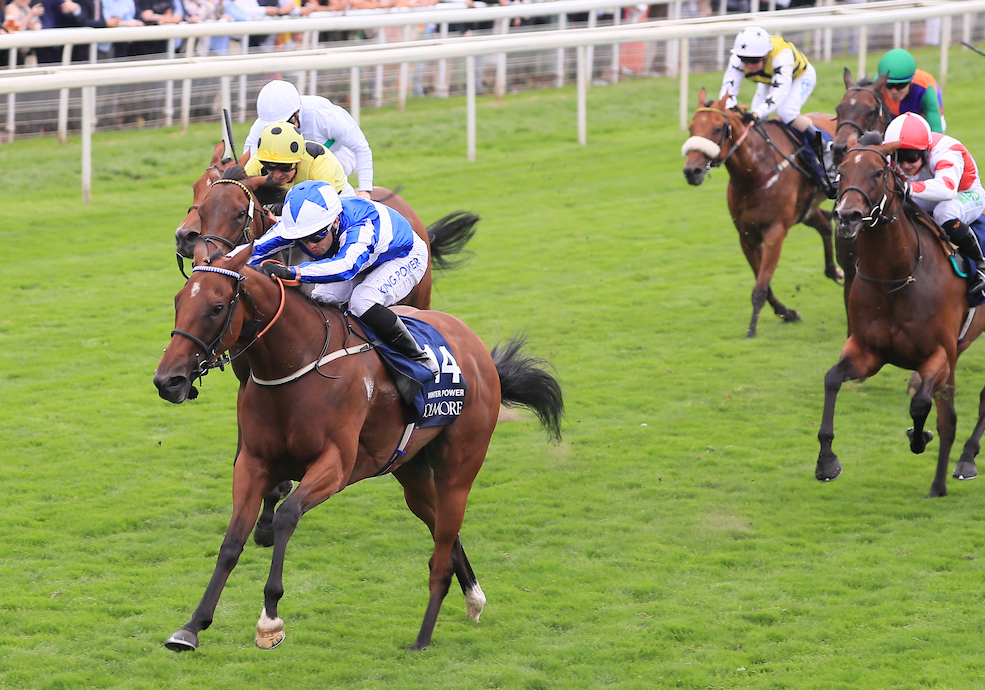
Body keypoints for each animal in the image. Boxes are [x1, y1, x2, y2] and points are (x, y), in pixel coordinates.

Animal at [154, 242, 564, 652]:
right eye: (178, 301)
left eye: (216, 307)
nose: (168, 380)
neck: (296, 363)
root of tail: (477, 347)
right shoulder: (253, 464)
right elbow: (232, 542)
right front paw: (191, 626)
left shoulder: (335, 465)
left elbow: (287, 515)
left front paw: (270, 619)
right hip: (411, 472)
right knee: (441, 533)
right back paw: (473, 598)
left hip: (460, 467)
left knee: (441, 552)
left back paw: (422, 638)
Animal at [680, 90, 840, 338]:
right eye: (691, 127)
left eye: (717, 128)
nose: (691, 171)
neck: (754, 172)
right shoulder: (747, 236)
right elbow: (763, 282)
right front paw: (787, 313)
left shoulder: (775, 232)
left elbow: (761, 286)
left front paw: (752, 330)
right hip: (806, 208)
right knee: (824, 223)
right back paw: (835, 272)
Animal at [816, 138, 984, 494]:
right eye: (841, 170)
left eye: (878, 172)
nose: (847, 216)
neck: (896, 276)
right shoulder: (868, 350)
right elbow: (832, 379)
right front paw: (826, 461)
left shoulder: (939, 354)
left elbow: (920, 404)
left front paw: (919, 438)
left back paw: (965, 459)